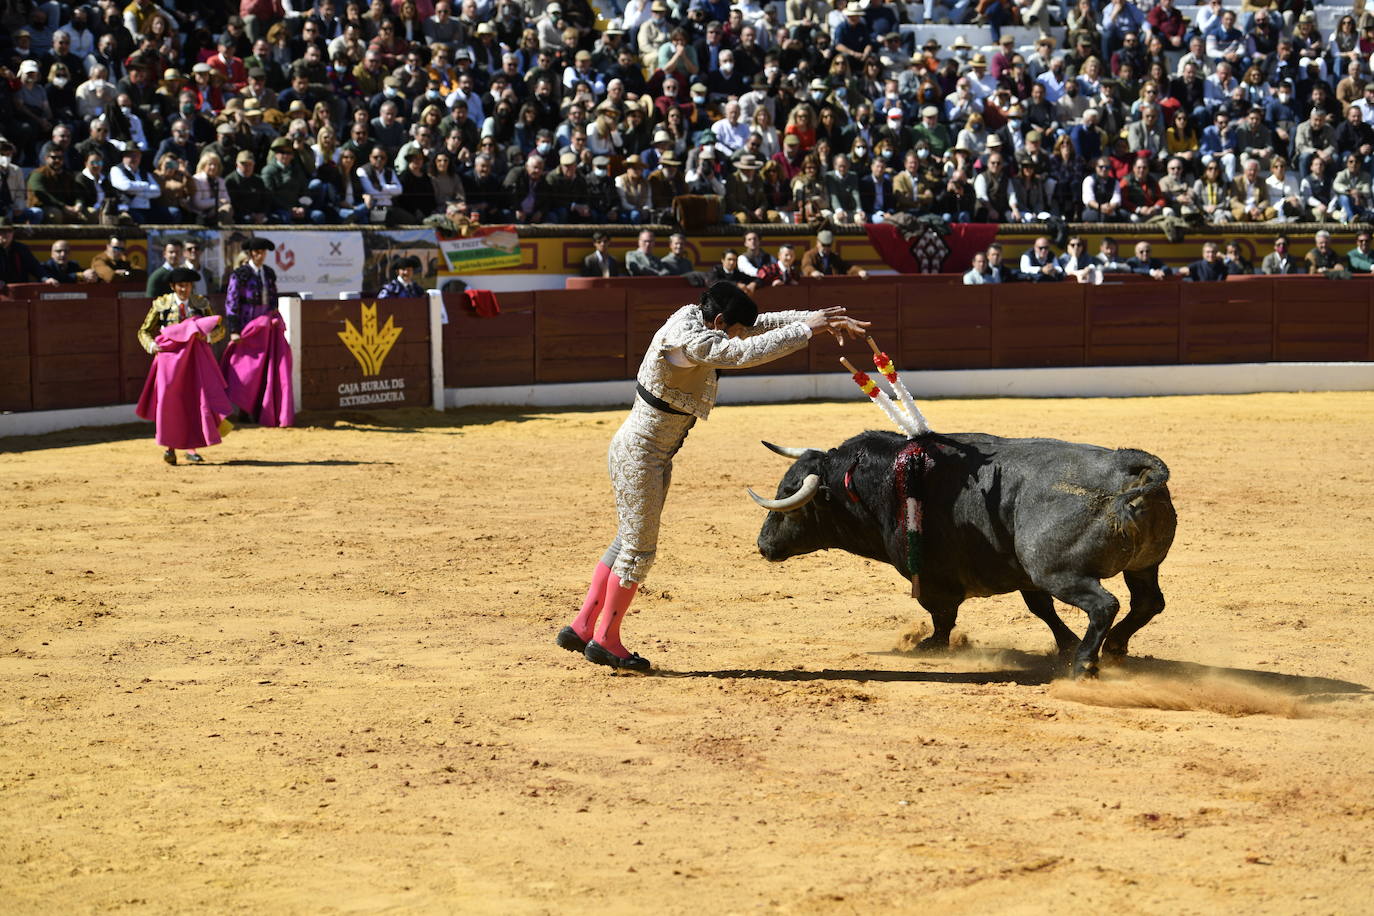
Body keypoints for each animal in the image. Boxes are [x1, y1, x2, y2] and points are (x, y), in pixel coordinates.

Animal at [758, 431, 1176, 681]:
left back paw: (1085, 666)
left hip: (1058, 571)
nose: (763, 545)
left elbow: (942, 616)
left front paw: (927, 645)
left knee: (1104, 605)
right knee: (1147, 602)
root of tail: (1126, 466)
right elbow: (1040, 608)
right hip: (1143, 565)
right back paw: (1114, 649)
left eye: (791, 499)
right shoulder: (1021, 574)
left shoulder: (934, 578)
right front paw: (1066, 644)